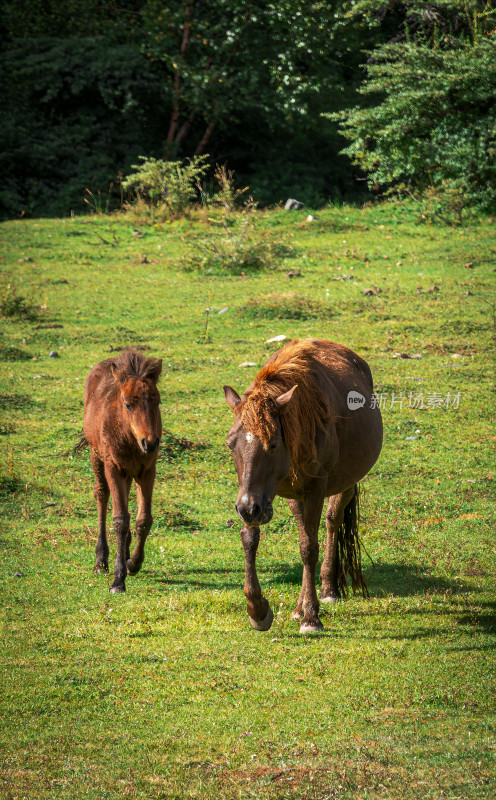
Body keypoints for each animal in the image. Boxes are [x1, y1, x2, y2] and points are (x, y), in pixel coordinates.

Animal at [84, 352, 163, 592]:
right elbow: (119, 520)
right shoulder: (113, 467)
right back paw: (101, 560)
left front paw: (134, 563)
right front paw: (118, 579)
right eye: (128, 405)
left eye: (158, 401)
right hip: (96, 456)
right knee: (101, 494)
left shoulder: (147, 470)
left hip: (129, 472)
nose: (150, 443)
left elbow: (143, 520)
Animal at [225, 338, 384, 632]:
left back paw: (328, 590)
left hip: (344, 482)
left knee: (332, 522)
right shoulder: (261, 495)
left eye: (273, 444)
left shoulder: (314, 487)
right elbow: (250, 539)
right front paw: (258, 609)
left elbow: (310, 548)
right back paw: (299, 607)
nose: (248, 509)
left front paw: (312, 616)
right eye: (231, 444)